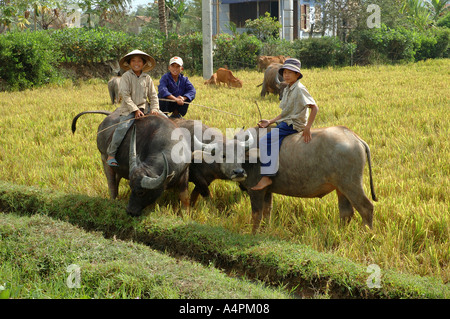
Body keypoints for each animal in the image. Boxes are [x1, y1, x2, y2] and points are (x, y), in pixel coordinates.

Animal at [234, 126, 378, 234]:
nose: (238, 172)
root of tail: (353, 137)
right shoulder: (267, 191)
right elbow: (267, 212)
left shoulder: (255, 191)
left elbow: (256, 215)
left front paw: (253, 234)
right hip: (341, 187)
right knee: (346, 212)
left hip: (351, 185)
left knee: (366, 208)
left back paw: (367, 234)